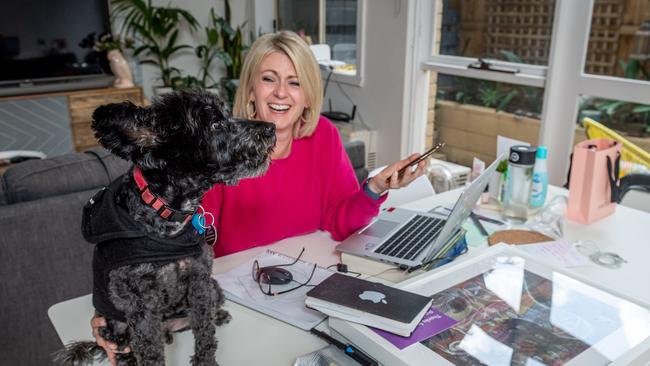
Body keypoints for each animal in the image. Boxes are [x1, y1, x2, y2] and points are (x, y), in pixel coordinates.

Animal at [55, 89, 276, 366]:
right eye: (215, 124)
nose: (271, 127)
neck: (168, 219)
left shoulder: (200, 281)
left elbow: (204, 330)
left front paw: (206, 359)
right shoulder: (142, 306)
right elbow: (150, 351)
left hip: (213, 288)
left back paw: (217, 316)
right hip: (113, 324)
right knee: (124, 344)